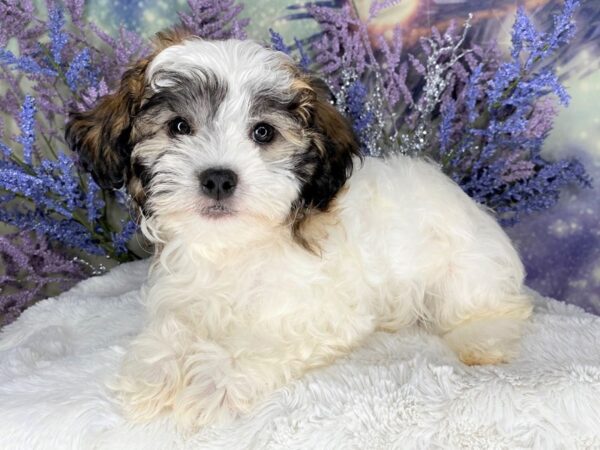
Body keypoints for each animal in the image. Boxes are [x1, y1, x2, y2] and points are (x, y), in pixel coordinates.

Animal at [65, 29, 532, 430]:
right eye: (179, 126)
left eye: (263, 132)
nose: (218, 178)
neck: (234, 245)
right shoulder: (183, 290)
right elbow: (171, 326)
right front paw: (154, 374)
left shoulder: (320, 313)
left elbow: (257, 342)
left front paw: (209, 381)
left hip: (464, 270)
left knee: (492, 307)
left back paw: (482, 340)